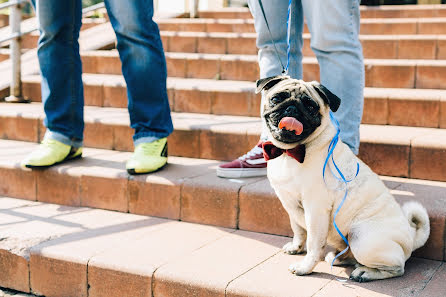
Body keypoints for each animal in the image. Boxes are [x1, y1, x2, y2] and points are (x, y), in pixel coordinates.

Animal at [260, 75, 430, 280]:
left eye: (310, 106)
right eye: (277, 98)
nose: (291, 108)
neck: (289, 153)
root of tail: (412, 237)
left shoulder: (316, 210)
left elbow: (314, 244)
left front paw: (305, 267)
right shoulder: (290, 204)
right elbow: (298, 230)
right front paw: (296, 247)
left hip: (361, 237)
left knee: (397, 268)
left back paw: (365, 272)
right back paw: (340, 258)